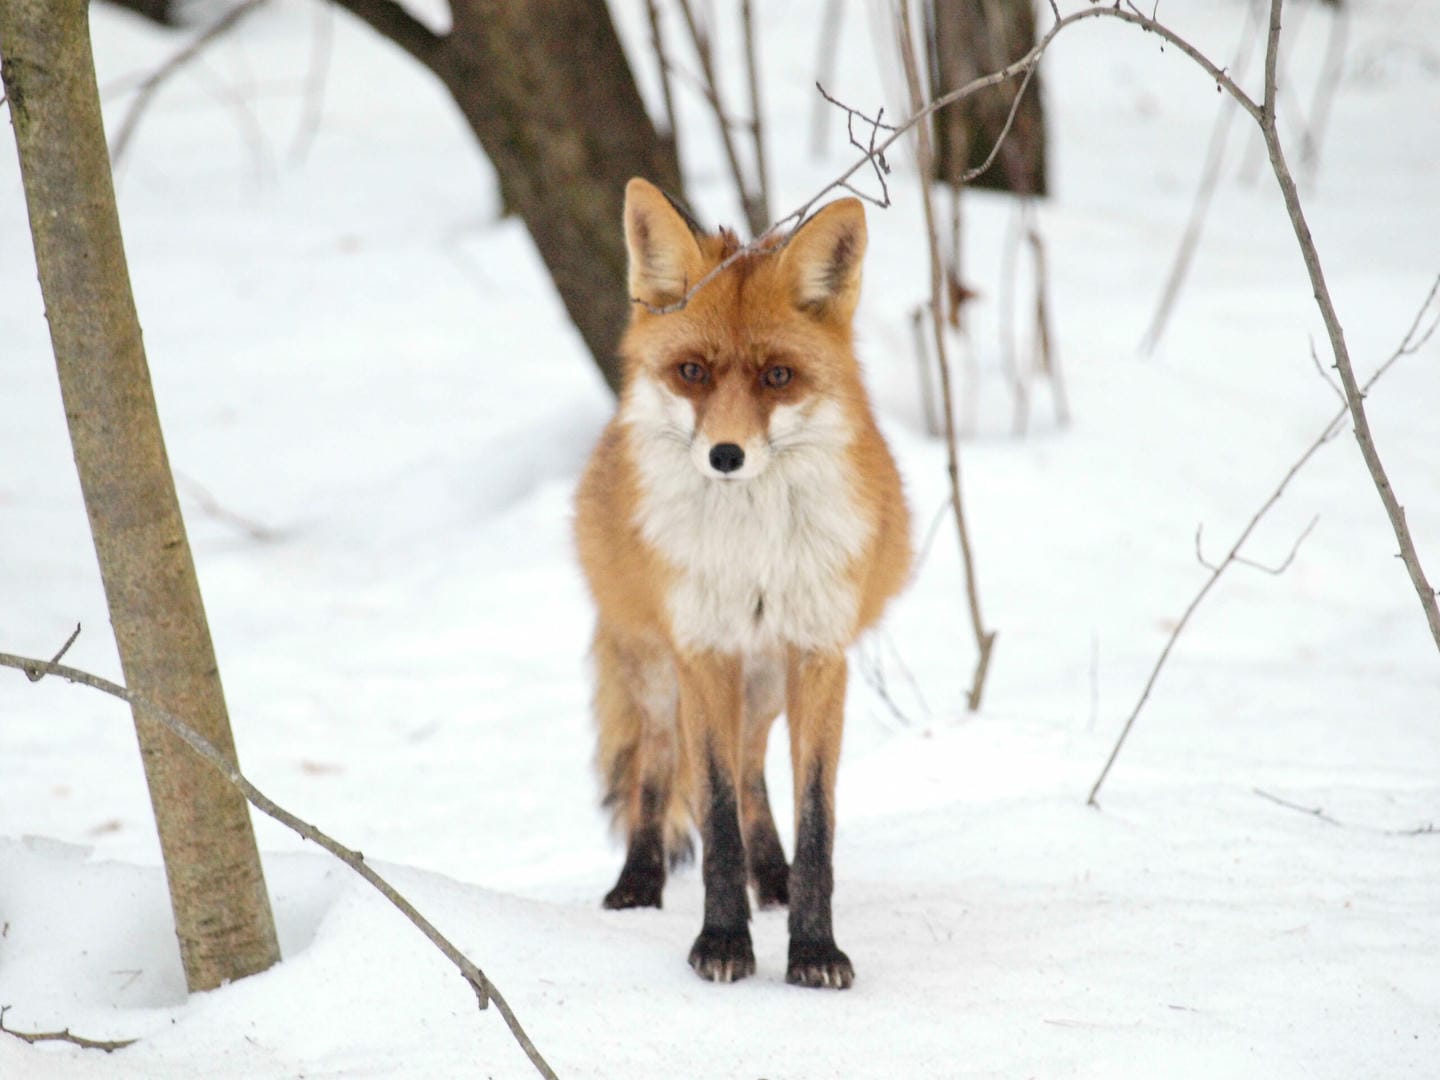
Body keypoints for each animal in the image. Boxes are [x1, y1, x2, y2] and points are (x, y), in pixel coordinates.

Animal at [573, 177, 911, 988]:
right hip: (661, 670)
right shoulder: (704, 652)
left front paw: (813, 947)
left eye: (777, 376)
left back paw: (774, 877)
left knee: (756, 768)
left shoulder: (819, 655)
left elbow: (814, 821)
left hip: (764, 680)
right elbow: (716, 815)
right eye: (692, 372)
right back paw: (639, 881)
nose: (725, 455)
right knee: (659, 766)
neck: (754, 552)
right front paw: (723, 940)